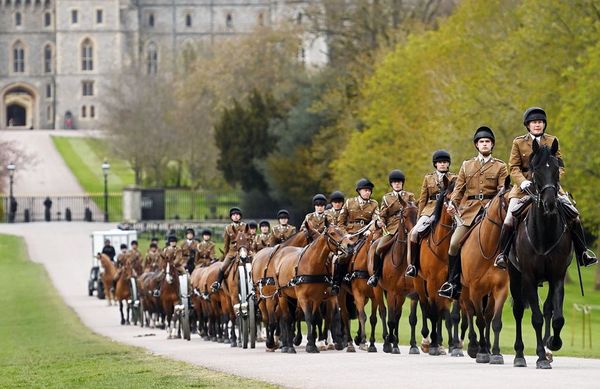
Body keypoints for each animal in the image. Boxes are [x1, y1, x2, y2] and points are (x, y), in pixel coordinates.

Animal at [276, 221, 352, 352]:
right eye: (332, 233)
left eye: (342, 231)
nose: (350, 245)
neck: (311, 265)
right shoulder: (303, 297)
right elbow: (308, 318)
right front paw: (311, 344)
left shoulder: (320, 297)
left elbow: (318, 317)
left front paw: (323, 342)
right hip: (282, 296)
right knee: (287, 317)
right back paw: (288, 345)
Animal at [372, 202, 420, 354]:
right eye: (403, 215)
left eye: (417, 213)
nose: (413, 233)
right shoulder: (393, 292)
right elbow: (390, 319)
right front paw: (390, 341)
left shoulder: (411, 293)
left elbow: (411, 319)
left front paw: (413, 345)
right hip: (379, 290)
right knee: (383, 312)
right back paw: (387, 342)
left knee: (397, 314)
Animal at [460, 179, 510, 364]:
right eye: (507, 201)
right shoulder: (475, 290)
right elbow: (479, 320)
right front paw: (480, 351)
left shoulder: (501, 289)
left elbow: (495, 321)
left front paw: (495, 352)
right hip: (464, 290)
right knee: (469, 312)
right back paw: (474, 346)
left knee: (487, 315)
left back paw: (487, 347)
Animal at [508, 139, 576, 366]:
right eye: (535, 170)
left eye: (556, 169)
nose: (550, 204)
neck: (544, 232)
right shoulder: (528, 277)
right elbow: (535, 318)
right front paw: (539, 356)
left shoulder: (557, 276)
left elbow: (556, 316)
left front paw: (553, 344)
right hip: (514, 275)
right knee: (519, 310)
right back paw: (520, 355)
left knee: (547, 309)